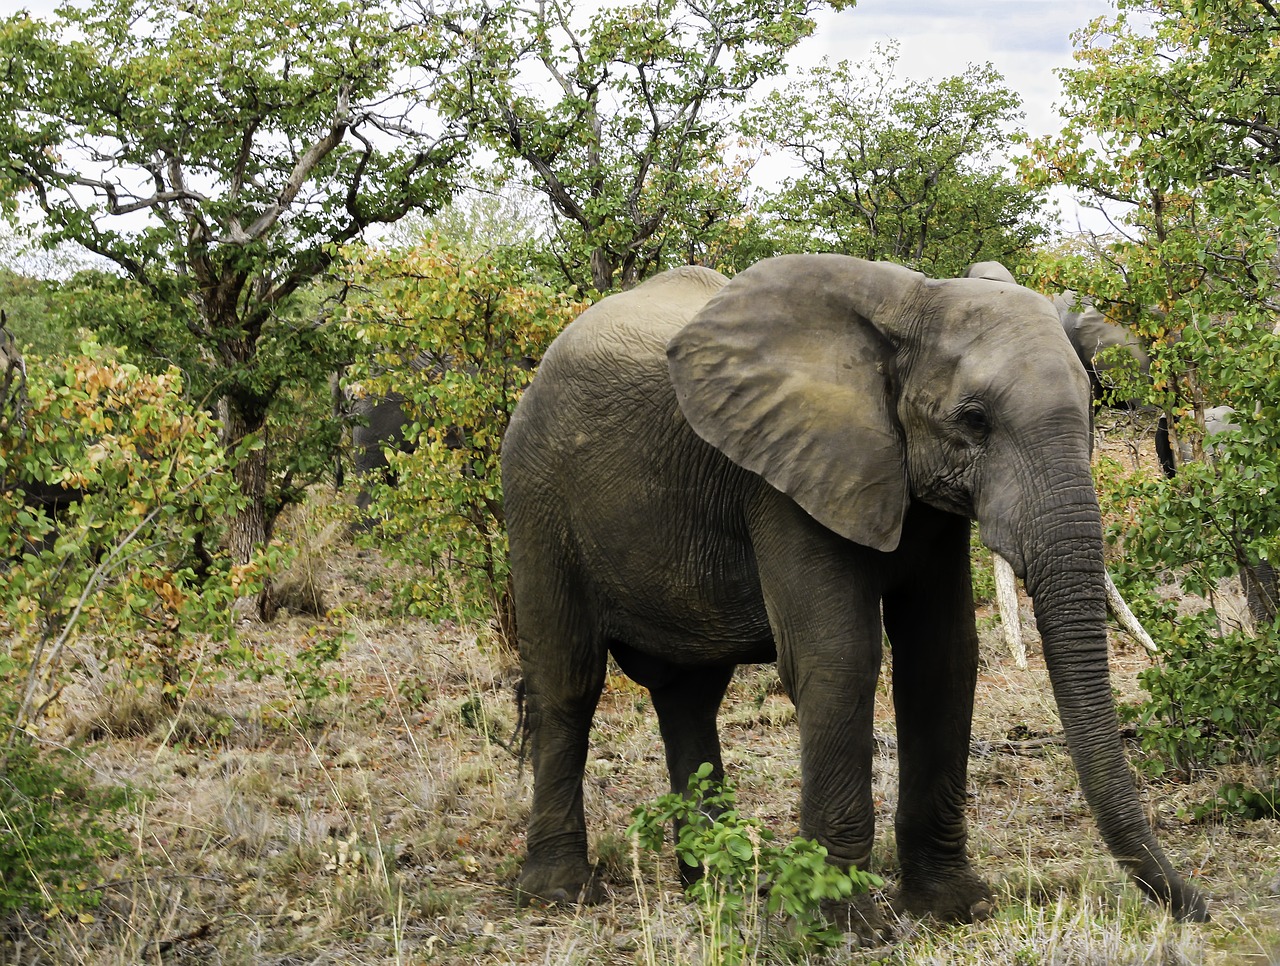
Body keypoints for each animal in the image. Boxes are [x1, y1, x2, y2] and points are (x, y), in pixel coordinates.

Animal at [501, 254, 1208, 931]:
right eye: (974, 420)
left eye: (1092, 409)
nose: (1199, 908)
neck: (911, 305)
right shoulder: (786, 475)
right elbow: (840, 657)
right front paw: (838, 926)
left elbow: (944, 655)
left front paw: (956, 908)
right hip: (536, 494)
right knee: (568, 681)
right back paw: (560, 894)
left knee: (689, 695)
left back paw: (718, 887)